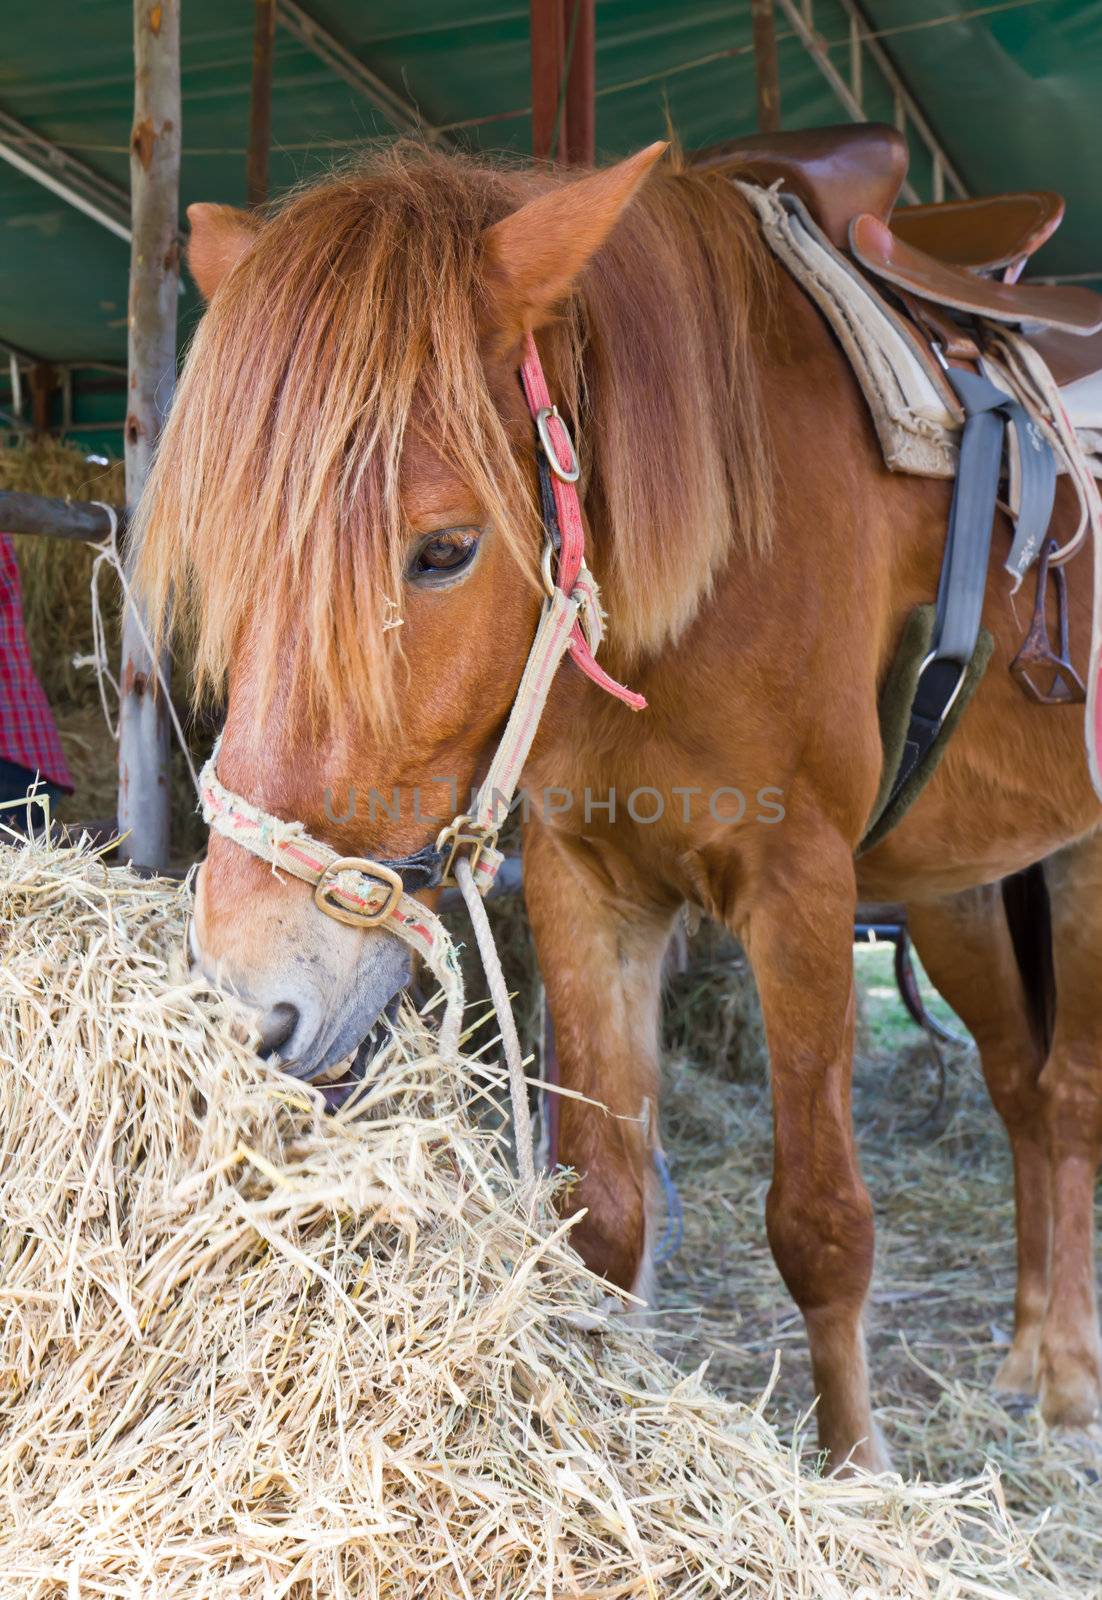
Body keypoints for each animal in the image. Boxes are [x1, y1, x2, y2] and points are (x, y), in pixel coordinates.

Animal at [135, 144, 1100, 1465]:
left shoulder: (802, 893)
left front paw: (854, 1470)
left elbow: (820, 1224)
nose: (252, 1002)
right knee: (1019, 1091)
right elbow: (603, 1209)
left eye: (443, 550)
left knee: (1068, 1098)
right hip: (963, 887)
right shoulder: (586, 886)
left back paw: (1065, 1383)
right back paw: (1021, 1355)